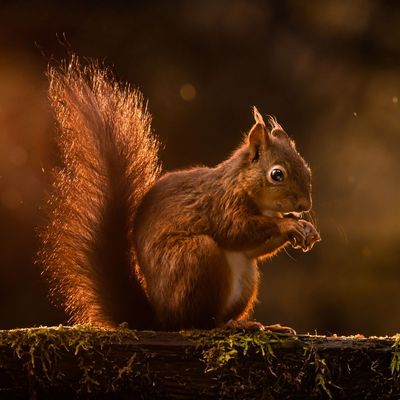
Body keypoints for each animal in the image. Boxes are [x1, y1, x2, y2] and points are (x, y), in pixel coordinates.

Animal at [39, 57, 320, 332]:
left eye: (307, 168)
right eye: (277, 174)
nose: (305, 205)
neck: (244, 186)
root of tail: (161, 317)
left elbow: (254, 249)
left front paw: (304, 227)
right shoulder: (221, 204)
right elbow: (236, 230)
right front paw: (288, 225)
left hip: (246, 277)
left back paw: (258, 325)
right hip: (194, 258)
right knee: (198, 321)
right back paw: (231, 326)